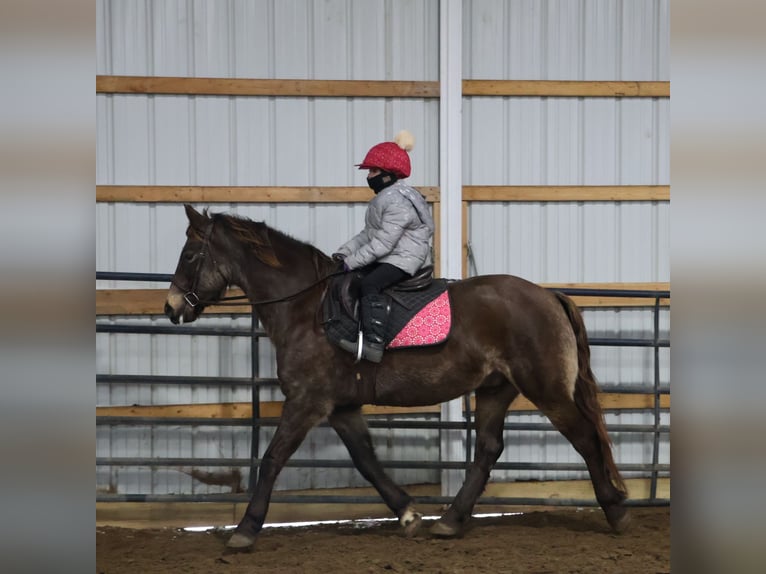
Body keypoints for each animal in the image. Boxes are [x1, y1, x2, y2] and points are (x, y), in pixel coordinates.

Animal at [164, 204, 629, 549]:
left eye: (189, 255)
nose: (171, 308)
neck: (306, 310)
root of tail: (548, 295)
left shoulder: (307, 402)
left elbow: (273, 458)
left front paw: (245, 531)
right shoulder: (341, 407)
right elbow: (367, 460)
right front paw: (407, 513)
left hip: (546, 390)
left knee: (585, 438)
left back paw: (615, 511)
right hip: (495, 389)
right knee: (488, 450)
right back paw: (450, 521)